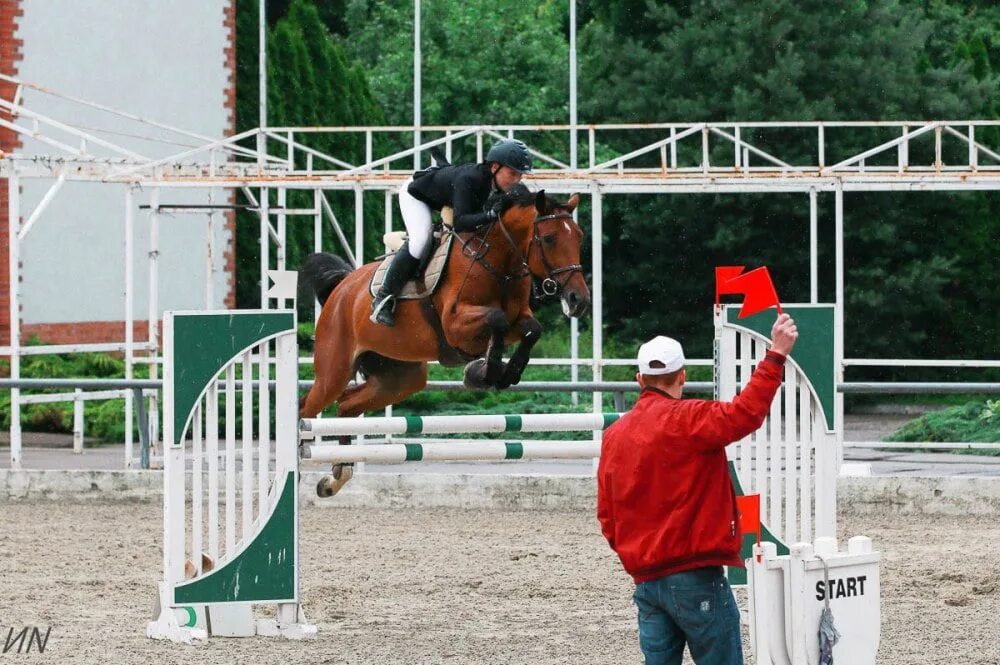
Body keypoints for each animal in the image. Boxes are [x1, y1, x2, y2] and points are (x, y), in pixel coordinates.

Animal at [300, 184, 588, 496]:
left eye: (579, 237)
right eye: (549, 238)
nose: (579, 300)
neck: (498, 261)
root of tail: (342, 288)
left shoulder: (517, 321)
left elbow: (532, 328)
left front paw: (505, 372)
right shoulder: (455, 325)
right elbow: (496, 318)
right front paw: (485, 373)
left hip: (399, 378)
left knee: (347, 405)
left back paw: (337, 476)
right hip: (334, 370)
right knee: (307, 408)